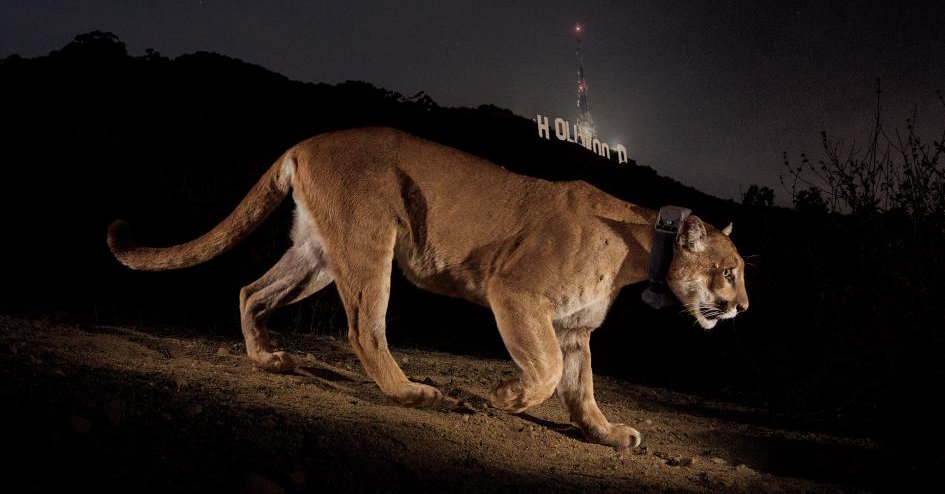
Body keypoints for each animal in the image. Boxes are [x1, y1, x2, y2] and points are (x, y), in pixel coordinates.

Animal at [107, 127, 748, 450]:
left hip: (317, 253)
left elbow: (581, 389)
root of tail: (308, 141)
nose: (743, 306)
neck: (639, 249)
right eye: (730, 270)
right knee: (364, 327)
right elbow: (544, 372)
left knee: (251, 291)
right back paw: (413, 392)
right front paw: (505, 397)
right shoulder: (516, 294)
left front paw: (608, 433)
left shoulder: (574, 328)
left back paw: (268, 359)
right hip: (370, 240)